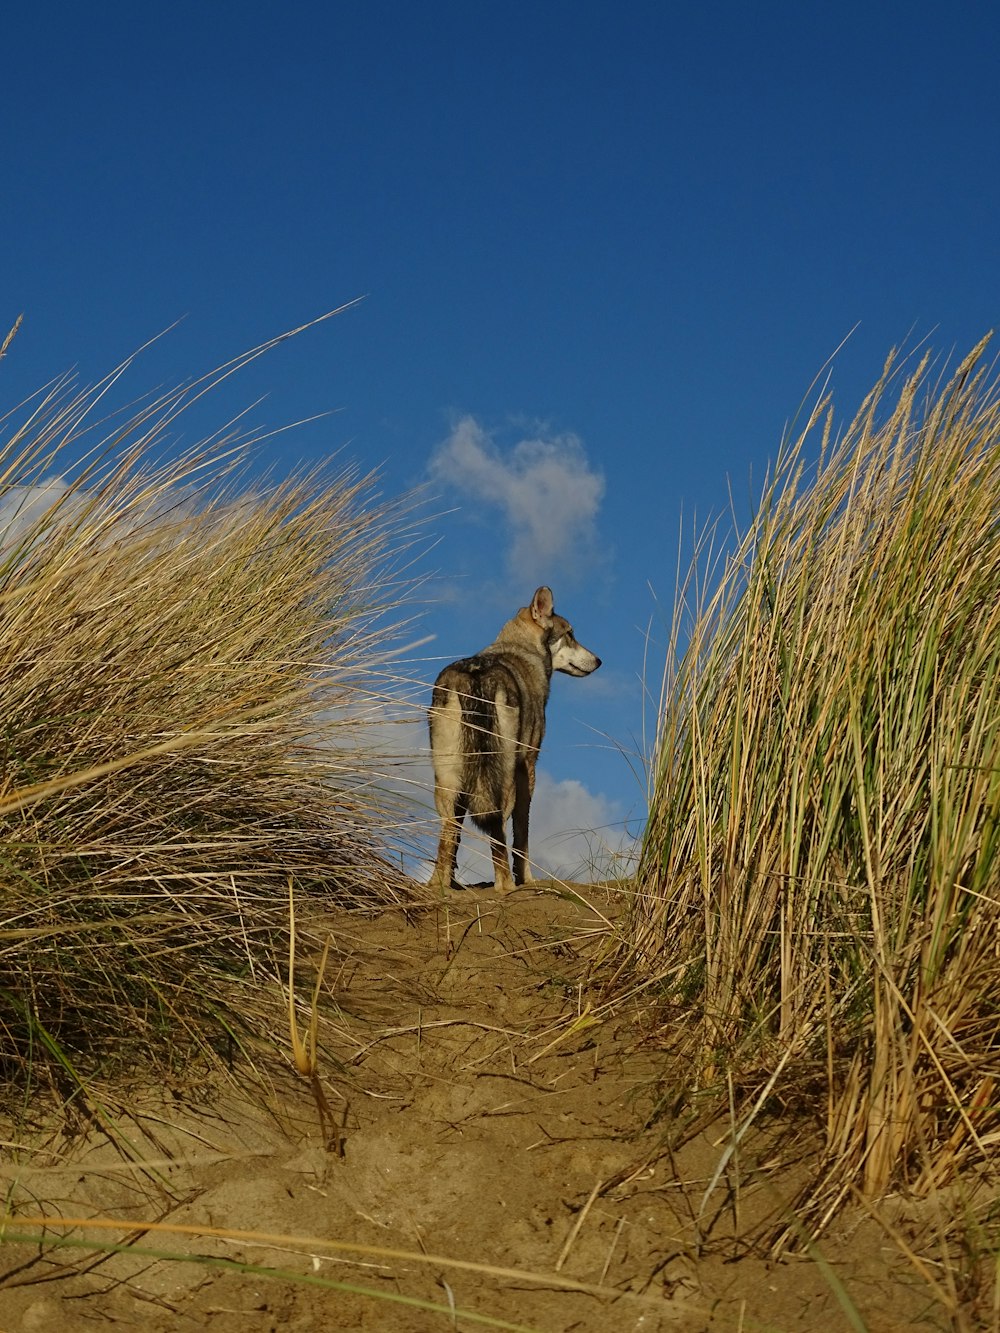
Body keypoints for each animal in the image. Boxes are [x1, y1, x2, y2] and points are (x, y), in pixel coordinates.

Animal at [424, 586, 600, 890]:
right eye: (571, 633)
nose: (600, 661)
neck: (521, 652)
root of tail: (475, 677)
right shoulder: (527, 766)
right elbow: (522, 835)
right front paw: (526, 879)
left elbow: (457, 837)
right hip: (502, 781)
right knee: (497, 835)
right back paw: (506, 886)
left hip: (447, 781)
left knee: (448, 834)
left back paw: (441, 886)